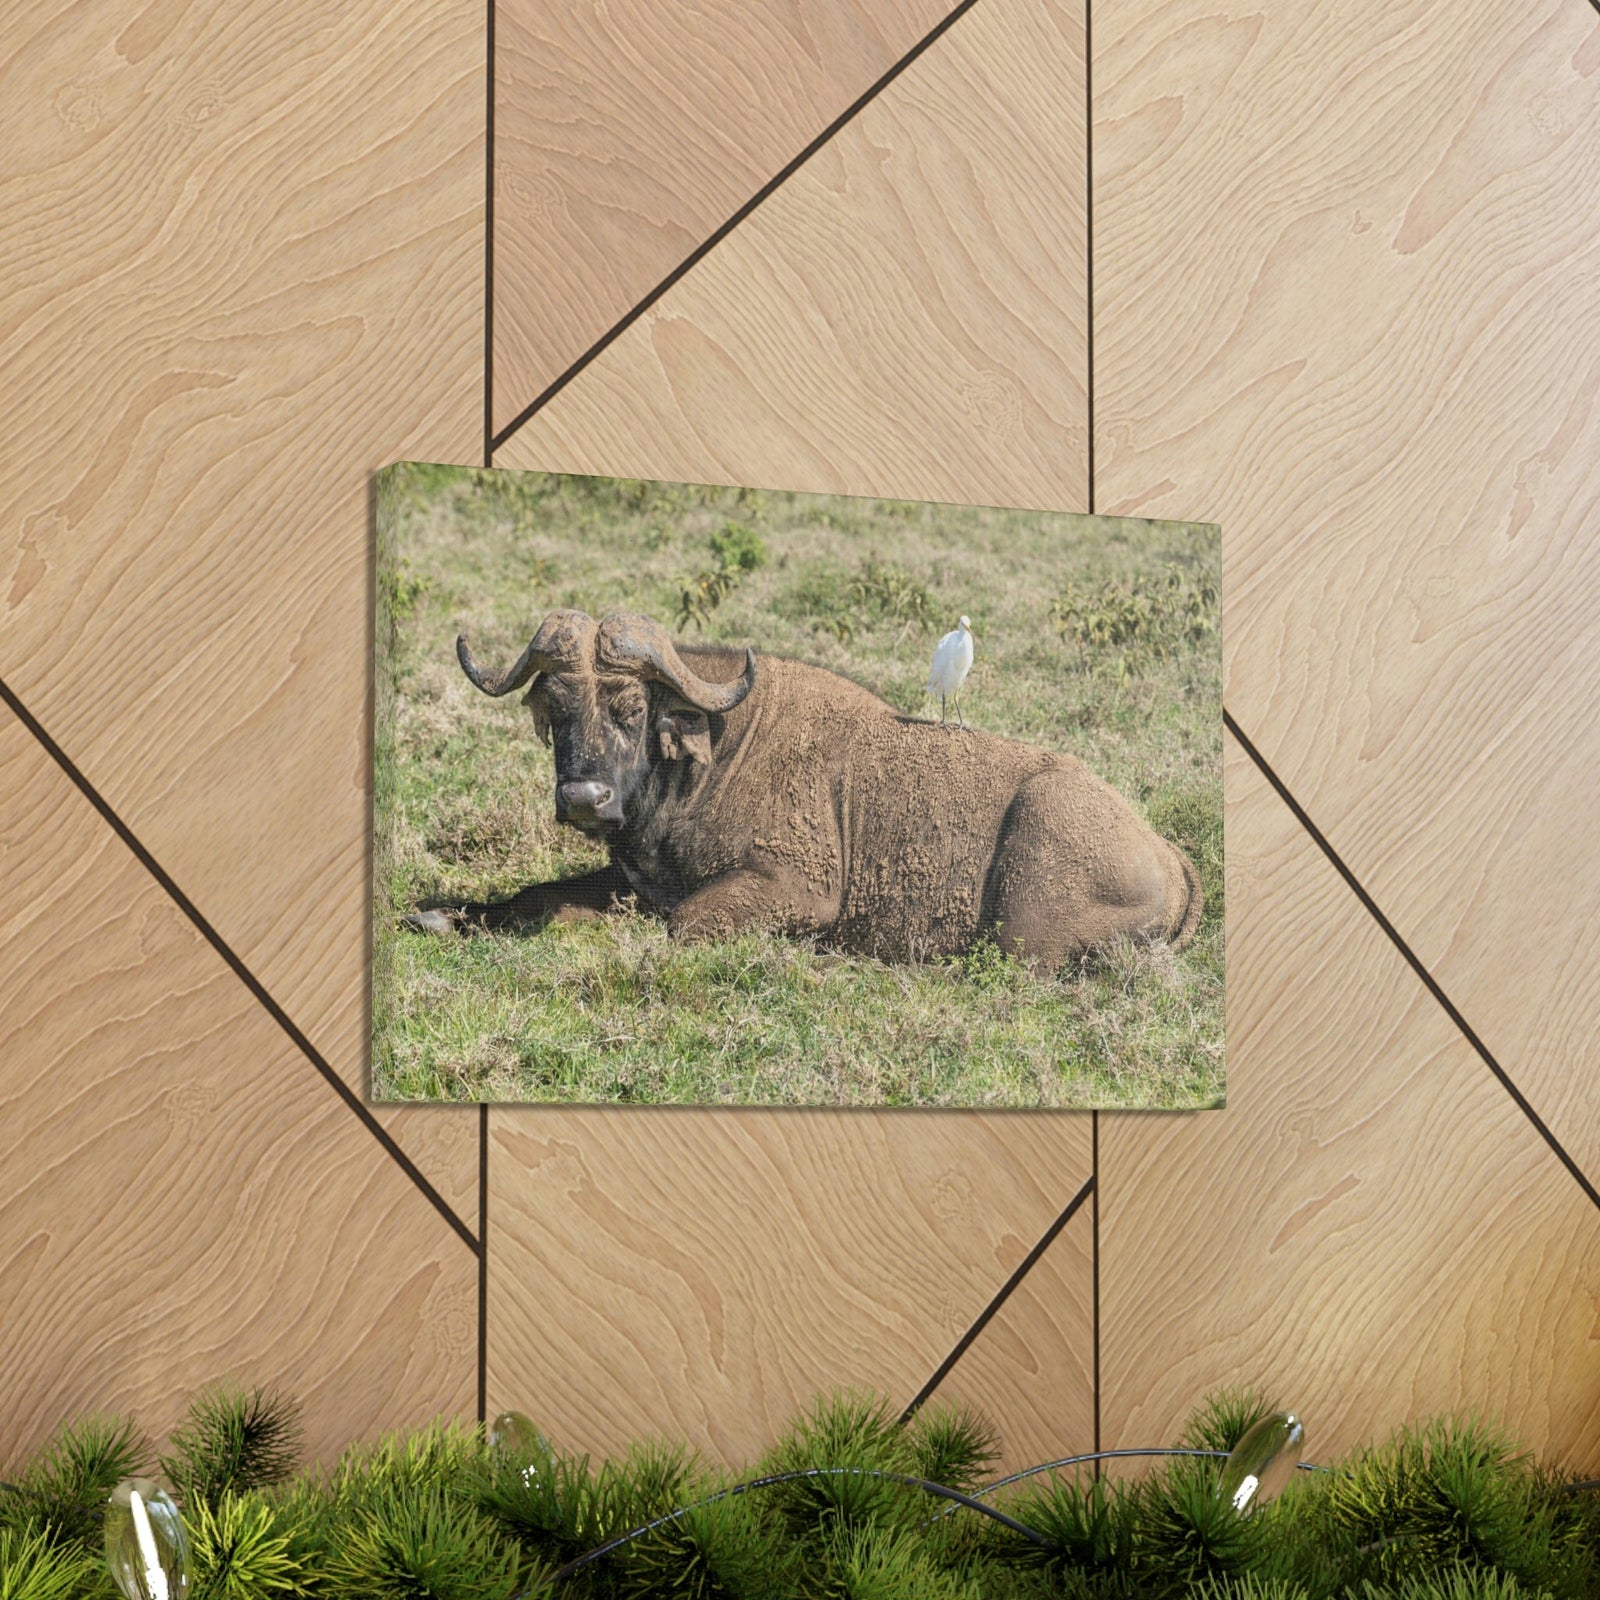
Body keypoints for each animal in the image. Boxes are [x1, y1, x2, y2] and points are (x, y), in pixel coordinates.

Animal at [407, 609, 1202, 970]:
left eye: (632, 709)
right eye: (560, 707)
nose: (584, 799)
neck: (712, 757)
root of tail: (1167, 853)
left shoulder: (791, 891)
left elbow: (679, 924)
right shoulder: (628, 879)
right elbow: (533, 896)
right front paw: (442, 916)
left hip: (1024, 918)